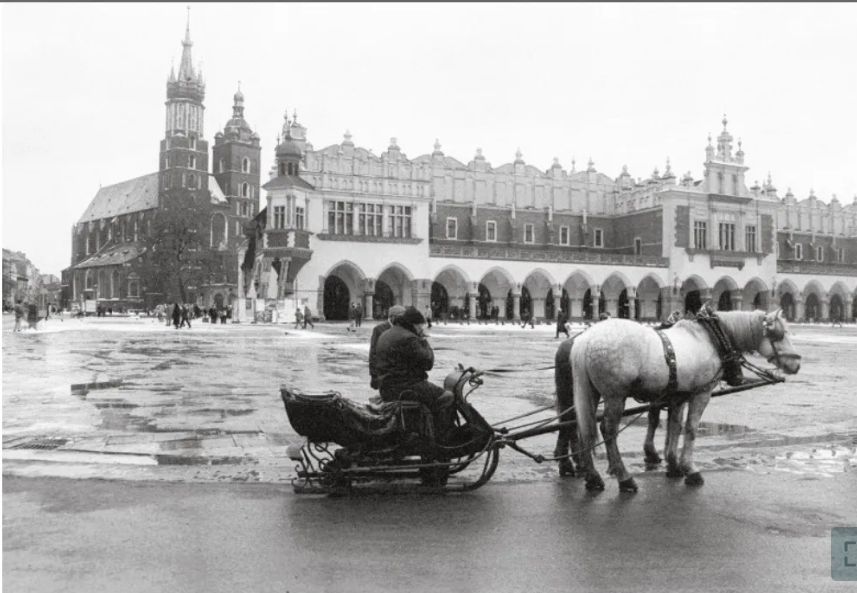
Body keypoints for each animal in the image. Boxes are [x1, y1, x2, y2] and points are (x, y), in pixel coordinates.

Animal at [564, 308, 800, 492]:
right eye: (780, 335)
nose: (796, 364)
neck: (711, 339)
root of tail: (586, 338)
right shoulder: (701, 392)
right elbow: (691, 428)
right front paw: (690, 469)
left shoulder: (678, 395)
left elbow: (675, 426)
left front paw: (673, 464)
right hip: (615, 395)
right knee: (608, 431)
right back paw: (624, 478)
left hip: (591, 392)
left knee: (584, 428)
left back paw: (593, 477)